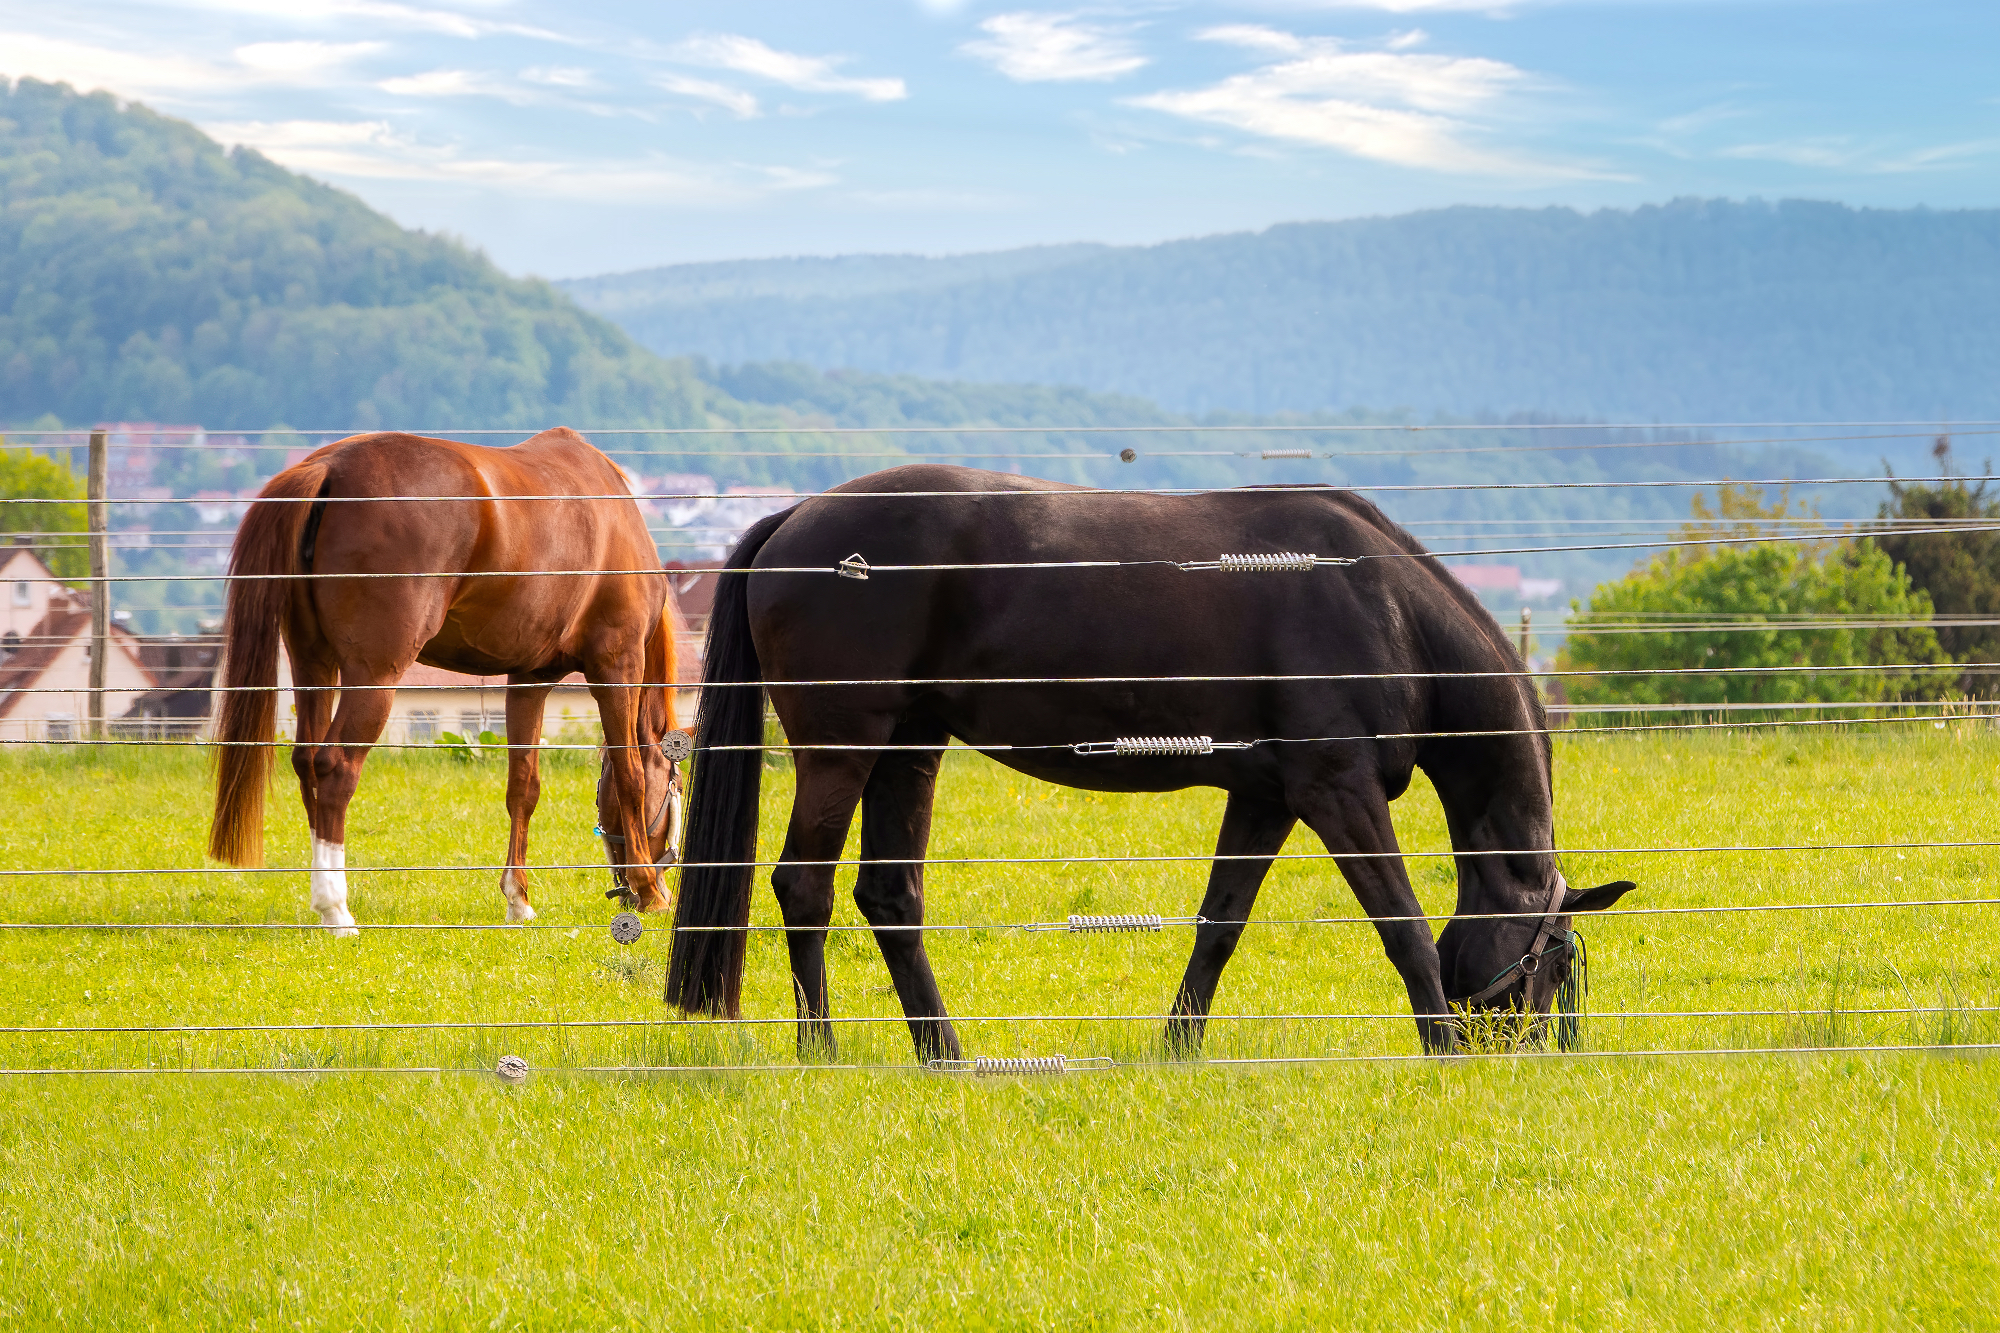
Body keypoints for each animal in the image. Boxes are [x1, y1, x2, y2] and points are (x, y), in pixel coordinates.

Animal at [207, 430, 684, 928]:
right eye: (676, 787)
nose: (634, 891)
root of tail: (329, 466)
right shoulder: (616, 667)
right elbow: (630, 773)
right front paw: (650, 890)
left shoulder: (530, 679)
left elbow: (524, 786)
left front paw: (518, 899)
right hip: (373, 677)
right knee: (334, 765)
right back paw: (336, 910)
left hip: (313, 664)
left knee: (306, 763)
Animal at [664, 466, 1632, 1056]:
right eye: (1553, 962)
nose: (1518, 1049)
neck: (1379, 603)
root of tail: (796, 516)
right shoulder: (1338, 791)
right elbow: (1402, 925)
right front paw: (1438, 1047)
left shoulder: (1265, 795)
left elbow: (1220, 924)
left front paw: (1178, 1045)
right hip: (843, 749)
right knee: (804, 888)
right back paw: (820, 1046)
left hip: (910, 747)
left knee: (891, 897)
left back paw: (945, 1053)